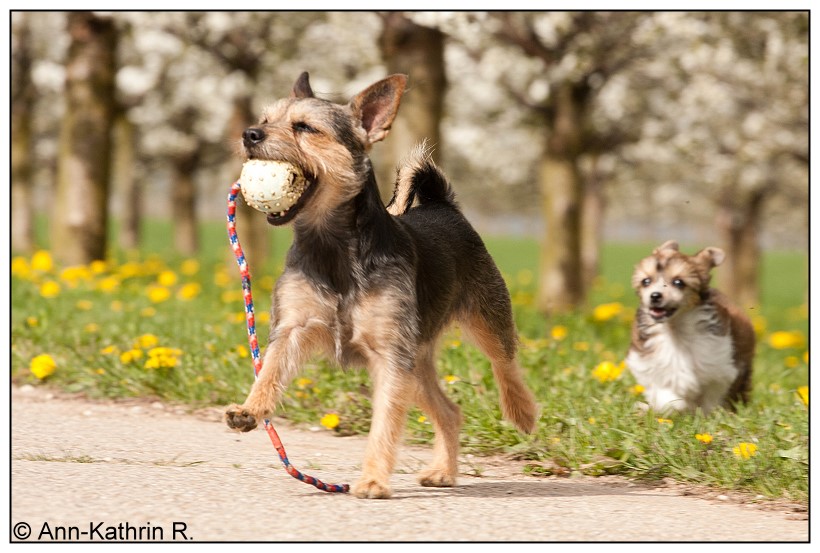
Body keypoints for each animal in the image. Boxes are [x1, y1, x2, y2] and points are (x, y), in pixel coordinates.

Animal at [224, 71, 540, 498]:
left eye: (305, 128)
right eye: (264, 118)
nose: (249, 133)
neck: (332, 247)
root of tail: (442, 205)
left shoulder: (389, 356)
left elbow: (385, 425)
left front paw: (373, 479)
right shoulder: (293, 328)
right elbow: (269, 371)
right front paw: (250, 409)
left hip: (483, 318)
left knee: (504, 363)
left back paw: (522, 412)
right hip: (416, 364)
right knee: (450, 411)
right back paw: (442, 470)